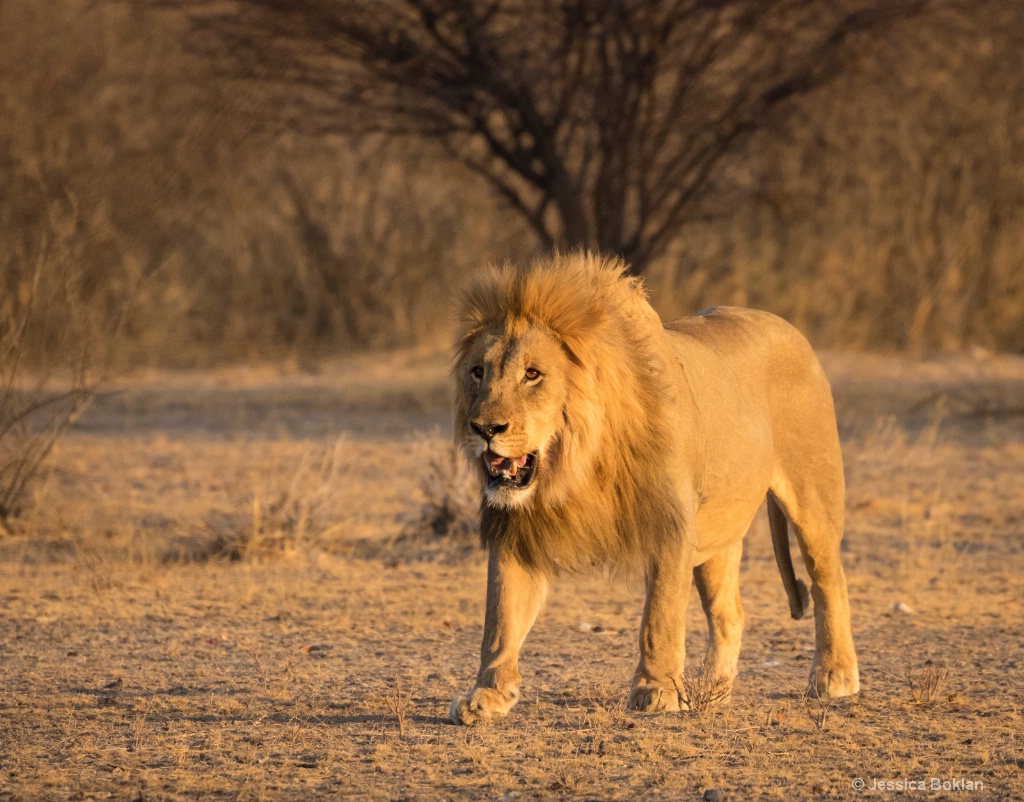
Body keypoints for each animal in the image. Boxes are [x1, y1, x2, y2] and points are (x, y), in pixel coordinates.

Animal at [448, 254, 856, 725]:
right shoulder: (515, 530)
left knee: (829, 581)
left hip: (813, 498)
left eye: (533, 374)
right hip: (717, 534)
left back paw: (834, 677)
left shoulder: (671, 523)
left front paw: (656, 689)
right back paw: (712, 691)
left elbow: (659, 616)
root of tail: (788, 326)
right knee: (730, 613)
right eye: (478, 372)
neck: (575, 466)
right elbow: (500, 618)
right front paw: (487, 694)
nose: (484, 429)